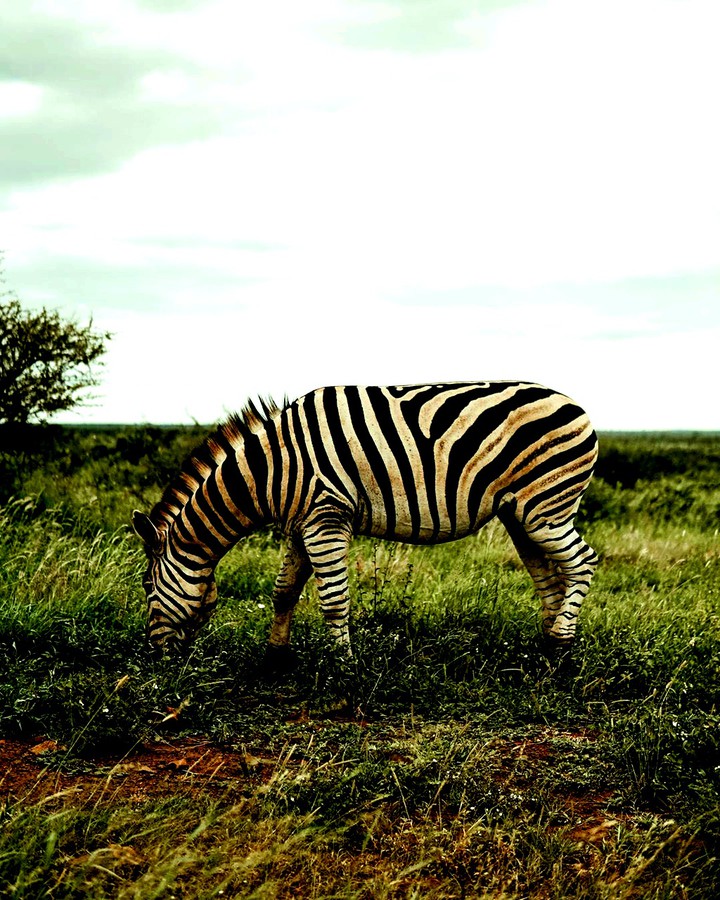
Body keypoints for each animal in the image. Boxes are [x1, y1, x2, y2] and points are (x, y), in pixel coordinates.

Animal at [133, 382, 598, 658]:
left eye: (146, 586)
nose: (152, 654)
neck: (270, 470)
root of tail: (574, 404)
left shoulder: (326, 517)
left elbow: (334, 599)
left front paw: (343, 666)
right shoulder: (302, 523)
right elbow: (284, 591)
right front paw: (275, 655)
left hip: (545, 507)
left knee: (583, 562)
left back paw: (562, 643)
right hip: (521, 513)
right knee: (548, 574)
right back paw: (548, 646)